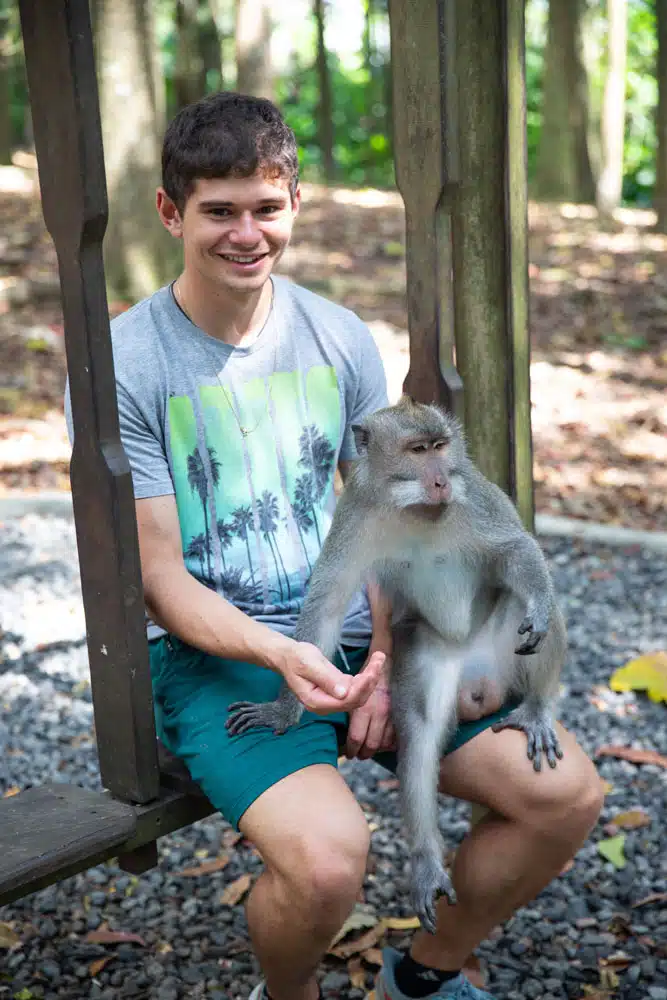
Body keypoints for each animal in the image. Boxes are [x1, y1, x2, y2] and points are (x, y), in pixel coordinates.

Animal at [226, 395, 566, 934]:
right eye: (416, 450)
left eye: (441, 446)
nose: (441, 480)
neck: (416, 510)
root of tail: (474, 668)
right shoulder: (356, 517)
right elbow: (326, 607)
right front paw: (283, 708)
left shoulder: (476, 501)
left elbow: (516, 550)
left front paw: (536, 606)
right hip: (427, 653)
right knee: (422, 733)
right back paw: (426, 858)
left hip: (502, 653)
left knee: (521, 602)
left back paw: (534, 706)